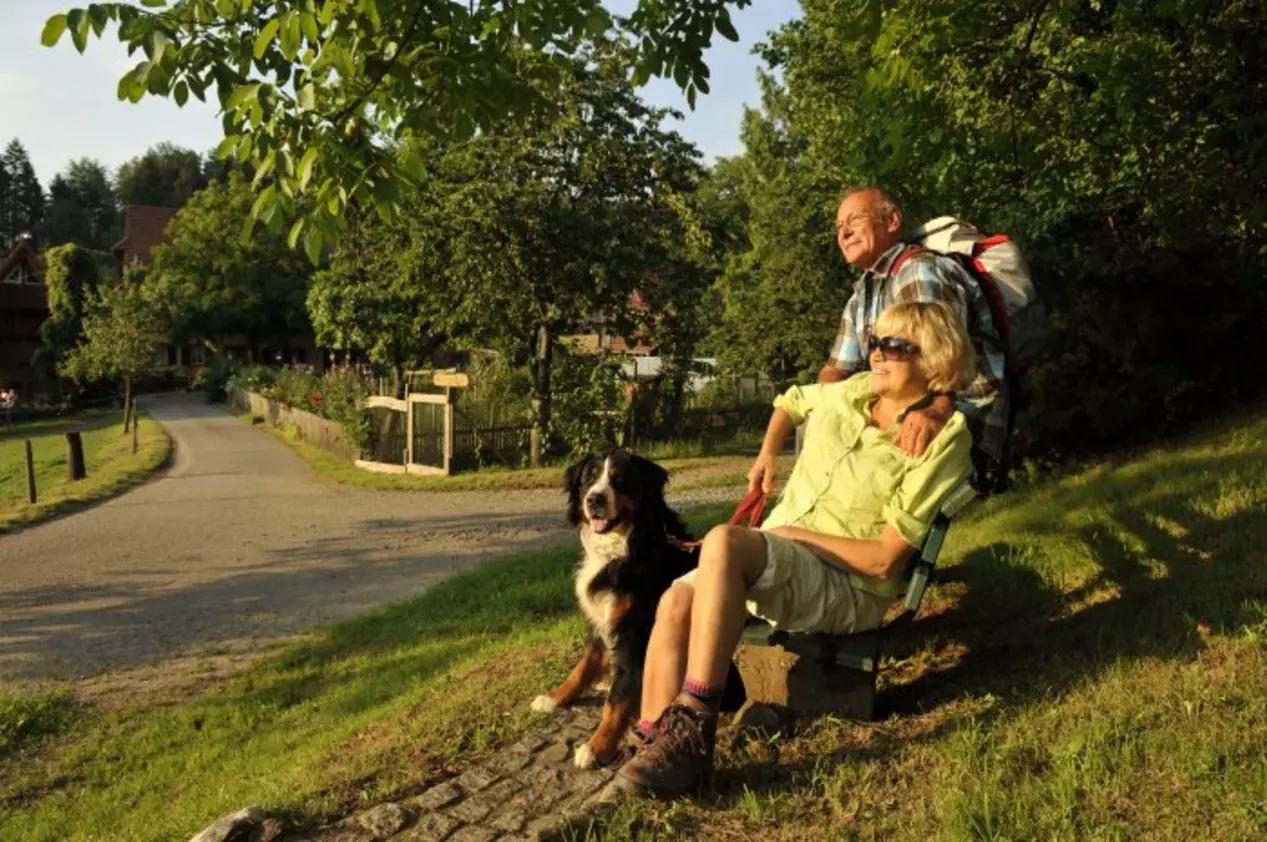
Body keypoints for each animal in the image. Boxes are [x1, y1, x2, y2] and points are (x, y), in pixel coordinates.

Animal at [527, 453, 739, 769]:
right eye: (589, 478)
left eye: (620, 479)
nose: (594, 499)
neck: (625, 546)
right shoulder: (602, 622)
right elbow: (583, 667)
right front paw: (555, 697)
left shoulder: (633, 630)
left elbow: (619, 696)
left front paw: (597, 746)